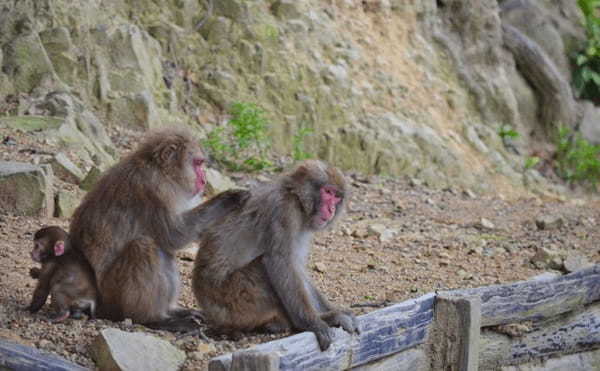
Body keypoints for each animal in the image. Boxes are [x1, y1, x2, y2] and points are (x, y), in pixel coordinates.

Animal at [195, 161, 358, 352]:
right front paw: (315, 322)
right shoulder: (283, 211)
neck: (297, 199)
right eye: (328, 192)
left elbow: (297, 269)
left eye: (337, 197)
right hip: (231, 300)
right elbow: (281, 262)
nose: (332, 209)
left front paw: (332, 311)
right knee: (261, 267)